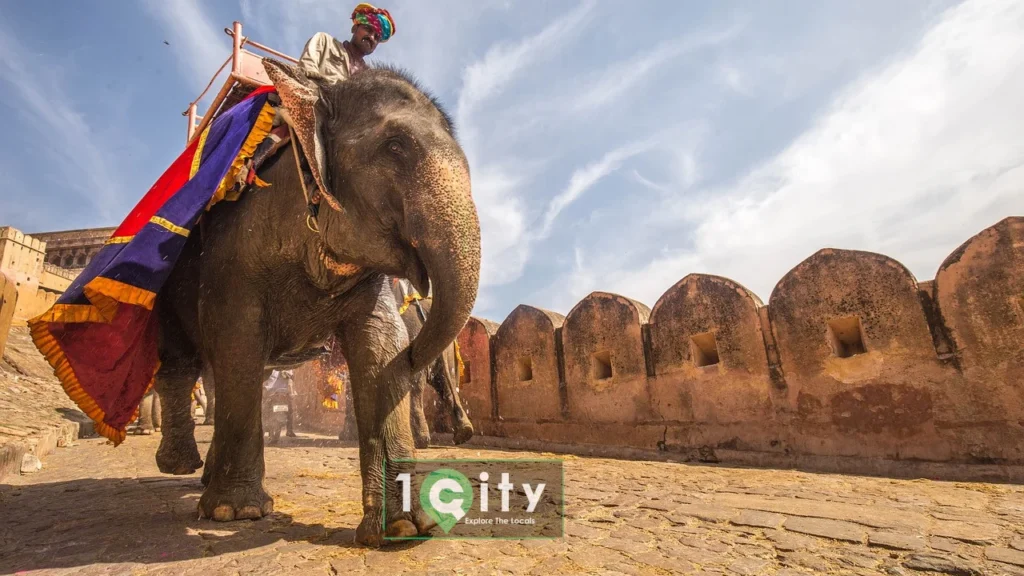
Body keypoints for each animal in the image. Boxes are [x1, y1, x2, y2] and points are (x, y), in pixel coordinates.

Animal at [149, 59, 481, 545]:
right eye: (395, 146)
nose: (417, 351)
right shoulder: (234, 253)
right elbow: (237, 343)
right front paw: (236, 513)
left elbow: (380, 346)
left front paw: (403, 529)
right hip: (171, 278)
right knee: (182, 363)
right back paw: (180, 466)